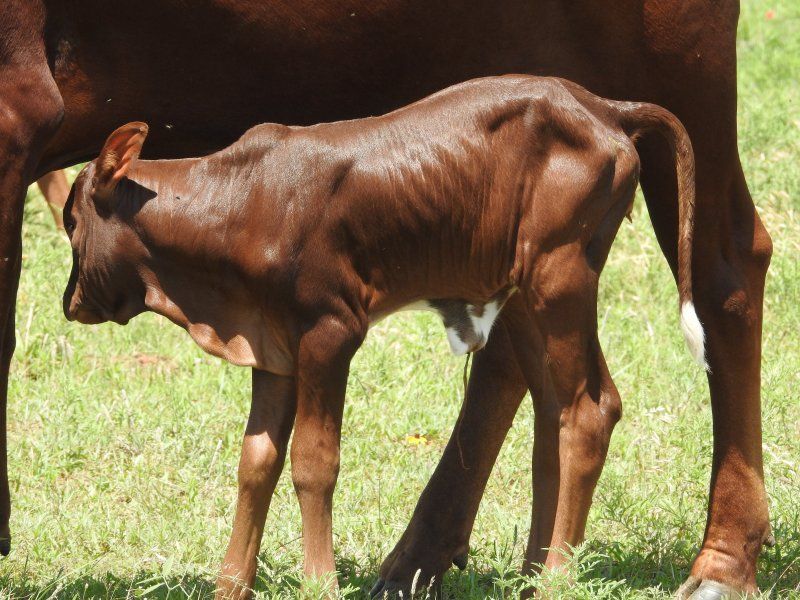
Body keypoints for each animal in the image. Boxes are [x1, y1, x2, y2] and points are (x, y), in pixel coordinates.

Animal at [0, 2, 772, 596]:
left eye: (72, 218)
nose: (70, 301)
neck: (243, 200)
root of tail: (602, 106)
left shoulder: (330, 331)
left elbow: (314, 461)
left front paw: (318, 581)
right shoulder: (272, 346)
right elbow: (256, 460)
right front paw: (229, 585)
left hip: (570, 265)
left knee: (603, 396)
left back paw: (589, 575)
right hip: (530, 287)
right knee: (551, 404)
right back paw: (525, 570)